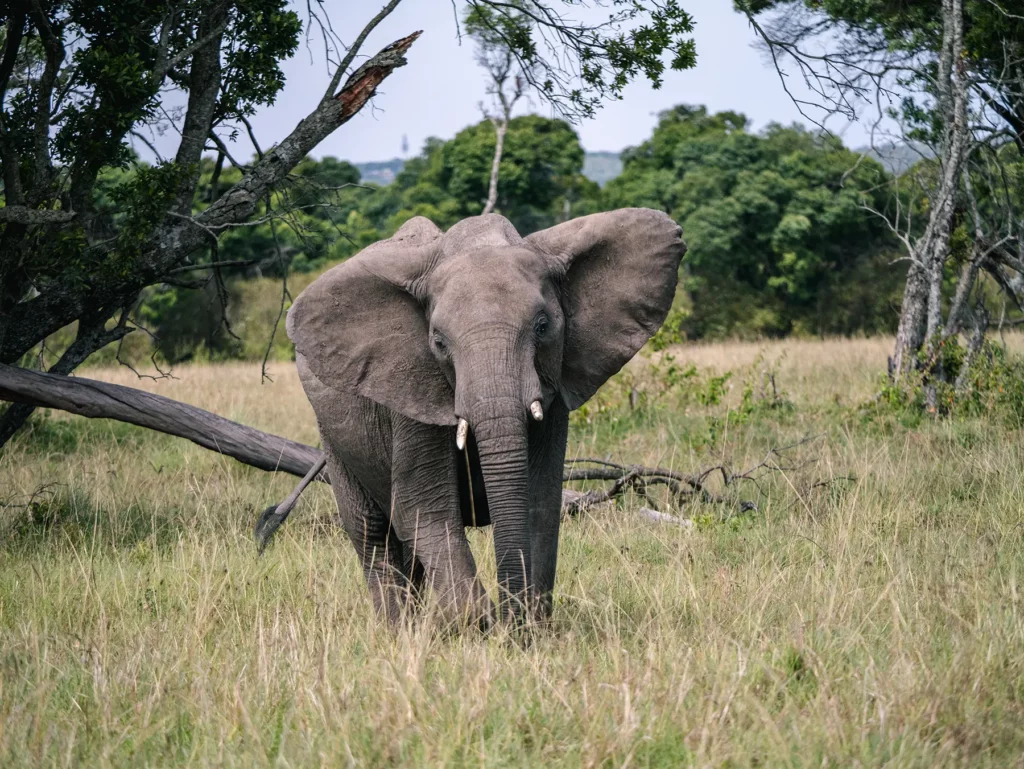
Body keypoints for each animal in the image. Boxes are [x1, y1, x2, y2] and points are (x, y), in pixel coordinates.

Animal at [275, 208, 684, 627]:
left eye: (543, 327)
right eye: (438, 341)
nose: (510, 616)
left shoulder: (553, 391)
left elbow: (540, 502)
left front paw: (527, 625)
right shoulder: (411, 389)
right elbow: (423, 508)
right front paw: (478, 623)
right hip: (333, 432)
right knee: (371, 532)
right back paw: (400, 629)